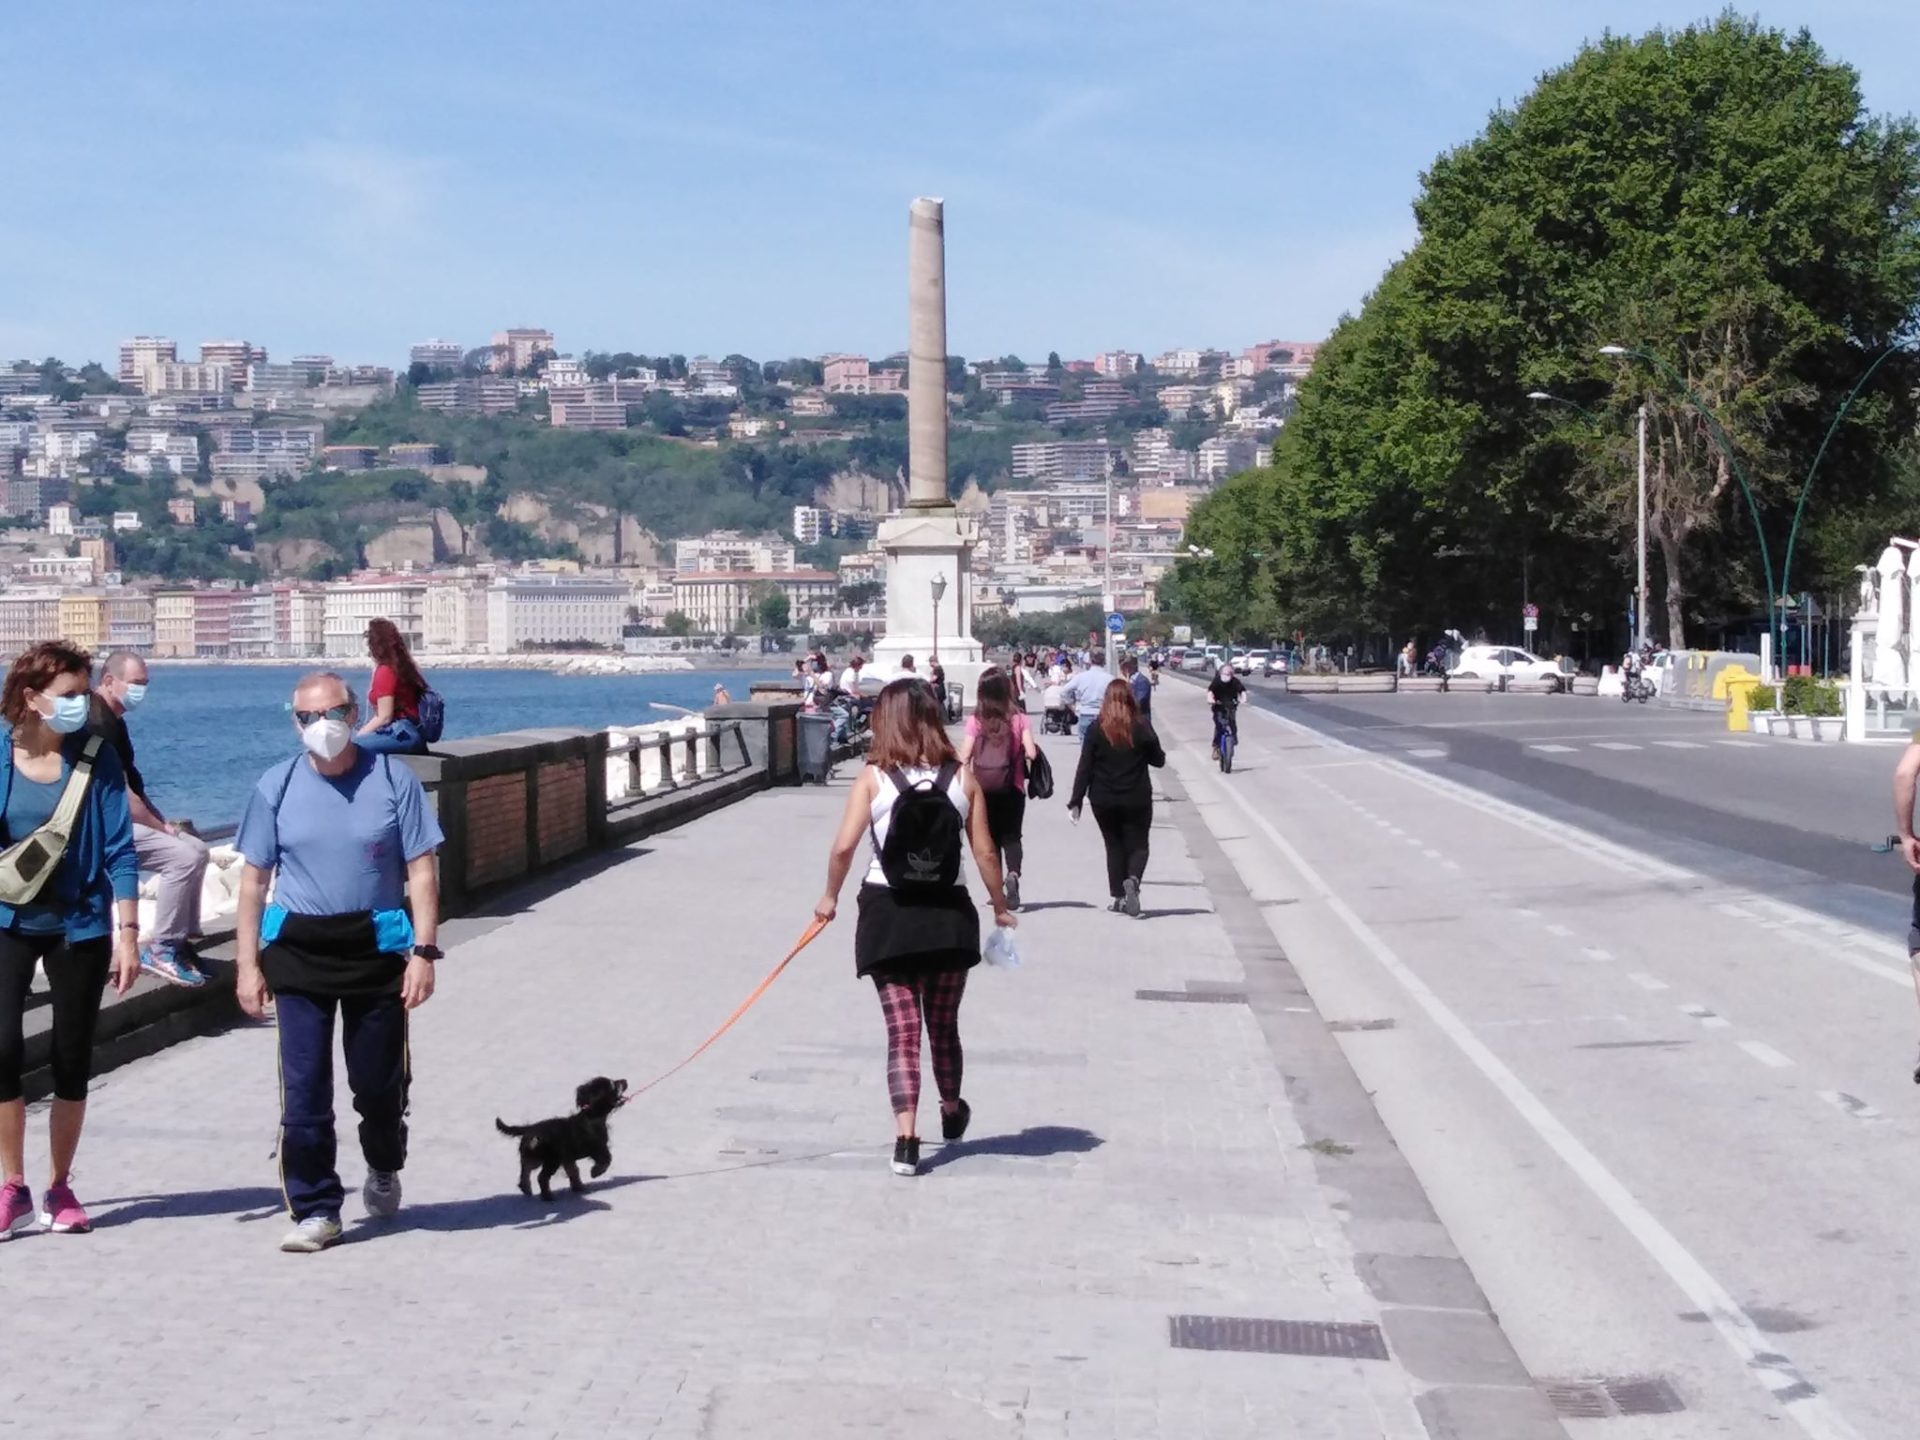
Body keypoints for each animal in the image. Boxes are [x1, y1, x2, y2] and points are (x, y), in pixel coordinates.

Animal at [495, 1076, 629, 1200]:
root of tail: (530, 1129)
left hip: (534, 1157)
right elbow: (607, 1160)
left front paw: (578, 1187)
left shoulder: (568, 1157)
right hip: (552, 1160)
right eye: (613, 1086)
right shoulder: (597, 1148)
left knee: (526, 1169)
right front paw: (594, 1173)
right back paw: (547, 1197)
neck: (592, 1117)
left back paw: (526, 1188)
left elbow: (573, 1172)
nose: (625, 1080)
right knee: (541, 1177)